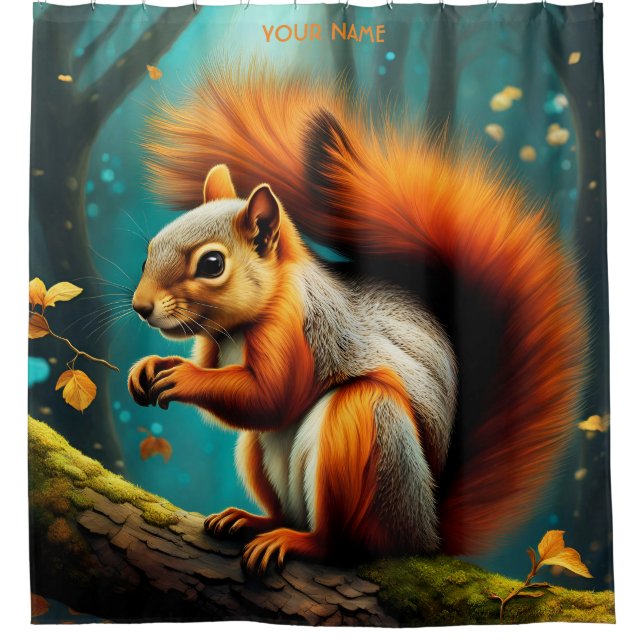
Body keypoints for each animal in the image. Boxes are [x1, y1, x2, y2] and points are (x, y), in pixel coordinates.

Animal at [128, 65, 589, 575]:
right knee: (277, 498)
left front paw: (184, 378)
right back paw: (252, 520)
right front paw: (148, 368)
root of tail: (427, 531)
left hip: (366, 433)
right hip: (259, 455)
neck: (239, 328)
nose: (141, 306)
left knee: (342, 541)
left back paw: (300, 542)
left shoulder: (298, 330)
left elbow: (271, 398)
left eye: (212, 264)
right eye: (150, 249)